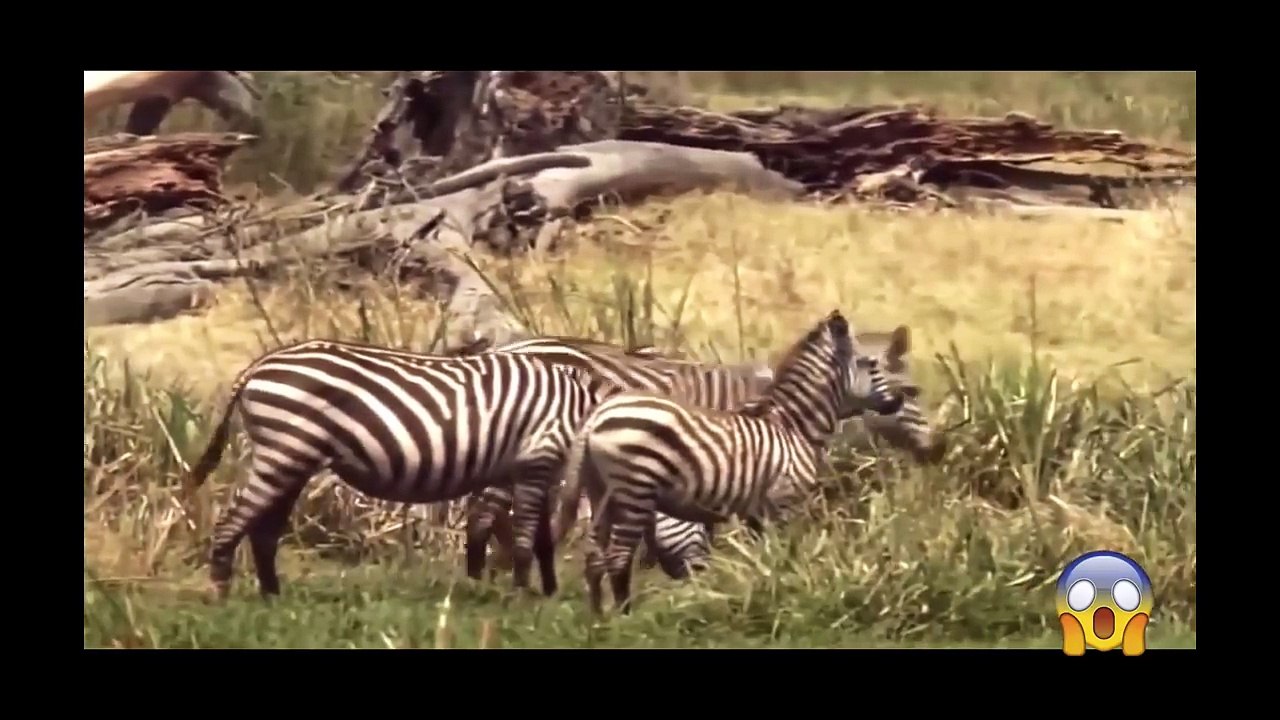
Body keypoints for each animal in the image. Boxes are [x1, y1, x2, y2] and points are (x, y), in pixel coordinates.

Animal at [180, 338, 617, 601]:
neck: (584, 406)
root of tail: (258, 365)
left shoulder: (533, 468)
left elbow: (541, 537)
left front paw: (546, 593)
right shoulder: (536, 459)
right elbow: (528, 536)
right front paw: (524, 597)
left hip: (292, 460)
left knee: (264, 531)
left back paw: (273, 597)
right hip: (283, 453)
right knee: (233, 523)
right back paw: (220, 594)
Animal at [553, 309, 905, 614]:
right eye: (871, 364)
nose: (902, 398)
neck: (794, 424)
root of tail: (596, 415)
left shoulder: (757, 512)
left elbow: (765, 558)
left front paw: (767, 593)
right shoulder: (784, 503)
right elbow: (785, 555)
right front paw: (787, 599)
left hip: (601, 493)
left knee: (594, 558)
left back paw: (599, 620)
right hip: (634, 491)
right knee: (617, 556)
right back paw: (625, 617)